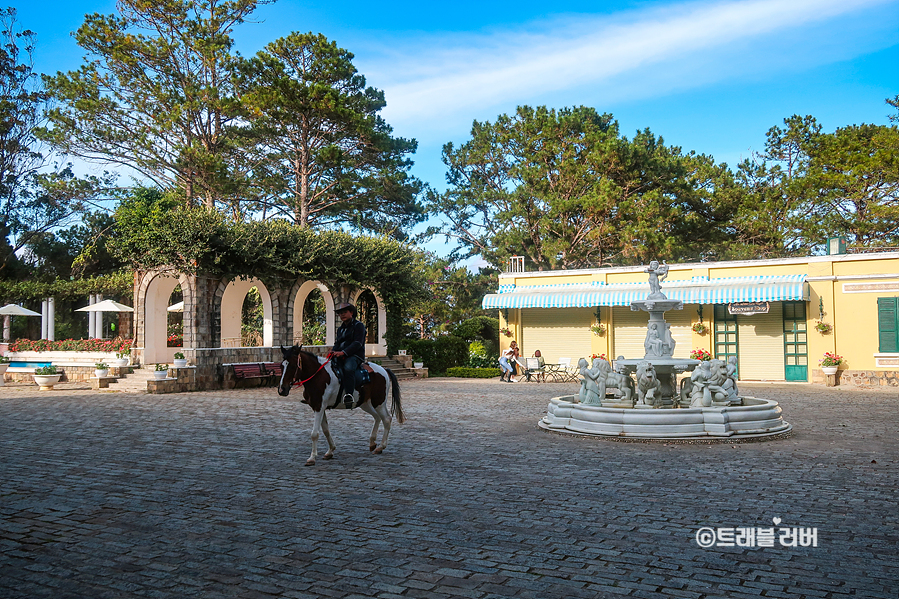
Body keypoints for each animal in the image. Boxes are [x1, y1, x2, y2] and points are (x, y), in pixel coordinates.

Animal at [278, 344, 408, 466]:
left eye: (293, 365)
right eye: (281, 366)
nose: (282, 389)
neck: (318, 376)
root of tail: (384, 370)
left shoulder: (319, 407)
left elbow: (315, 433)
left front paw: (312, 458)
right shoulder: (319, 407)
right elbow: (326, 430)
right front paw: (330, 451)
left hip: (379, 402)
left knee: (386, 419)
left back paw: (381, 446)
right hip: (365, 403)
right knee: (377, 417)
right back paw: (372, 443)